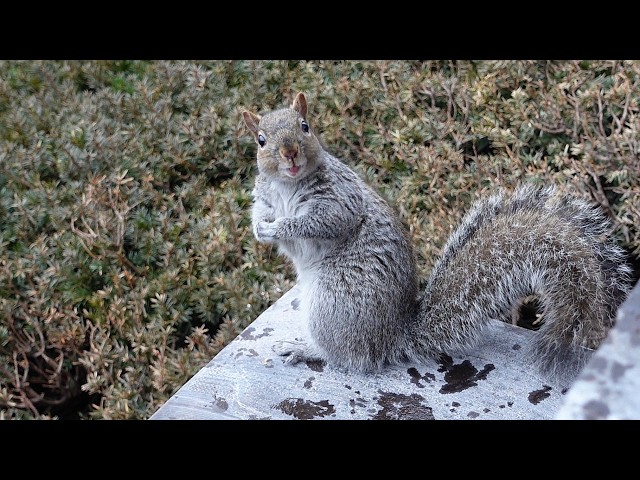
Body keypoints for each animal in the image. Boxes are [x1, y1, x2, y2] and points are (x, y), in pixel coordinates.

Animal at [242, 92, 634, 383]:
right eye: (261, 141)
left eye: (305, 127)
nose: (290, 152)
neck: (287, 186)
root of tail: (393, 336)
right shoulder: (265, 198)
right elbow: (260, 212)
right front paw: (261, 228)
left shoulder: (341, 199)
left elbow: (322, 222)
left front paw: (279, 228)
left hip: (335, 303)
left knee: (352, 358)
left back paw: (306, 349)